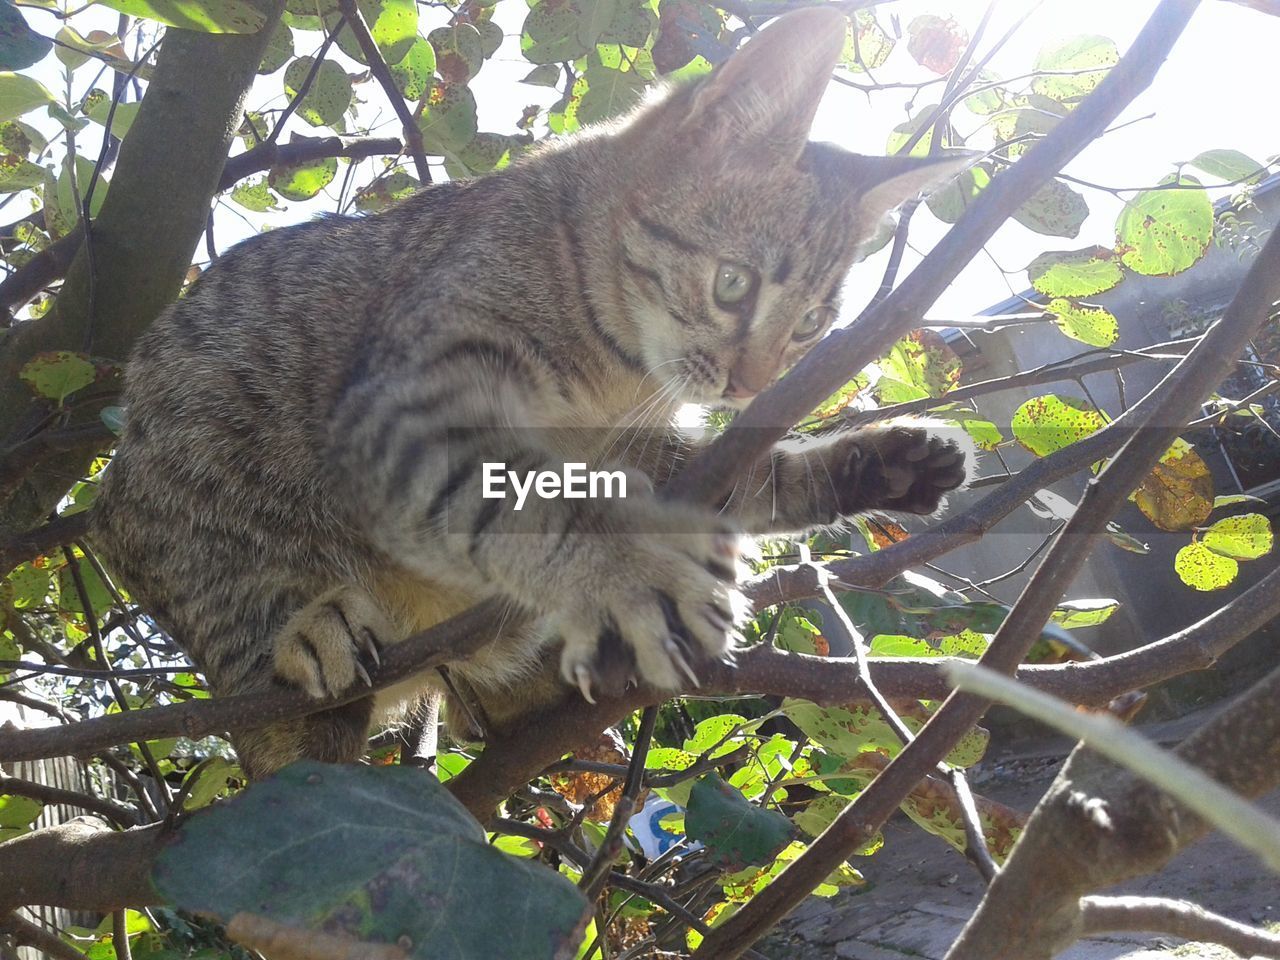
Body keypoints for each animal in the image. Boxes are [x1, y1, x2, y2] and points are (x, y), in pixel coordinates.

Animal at [92, 3, 967, 778]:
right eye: (733, 285)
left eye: (811, 324)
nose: (754, 383)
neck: (613, 372)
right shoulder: (405, 410)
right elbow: (524, 502)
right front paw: (625, 572)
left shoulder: (634, 448)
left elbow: (749, 479)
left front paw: (868, 463)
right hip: (197, 509)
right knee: (286, 718)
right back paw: (313, 632)